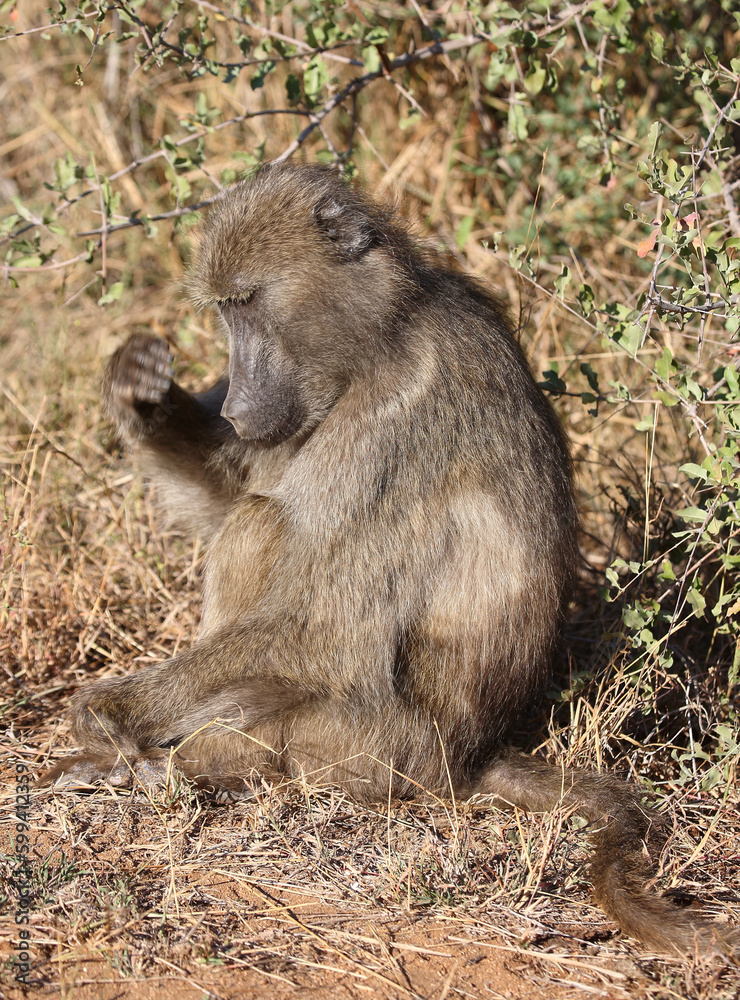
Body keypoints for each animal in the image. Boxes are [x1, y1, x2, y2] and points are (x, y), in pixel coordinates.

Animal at [43, 163, 737, 958]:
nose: (239, 406)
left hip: (373, 747)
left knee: (265, 545)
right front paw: (141, 393)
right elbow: (232, 498)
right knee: (252, 522)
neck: (383, 332)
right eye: (223, 311)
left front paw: (107, 713)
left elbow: (327, 633)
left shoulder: (394, 421)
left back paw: (180, 769)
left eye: (248, 303)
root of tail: (466, 757)